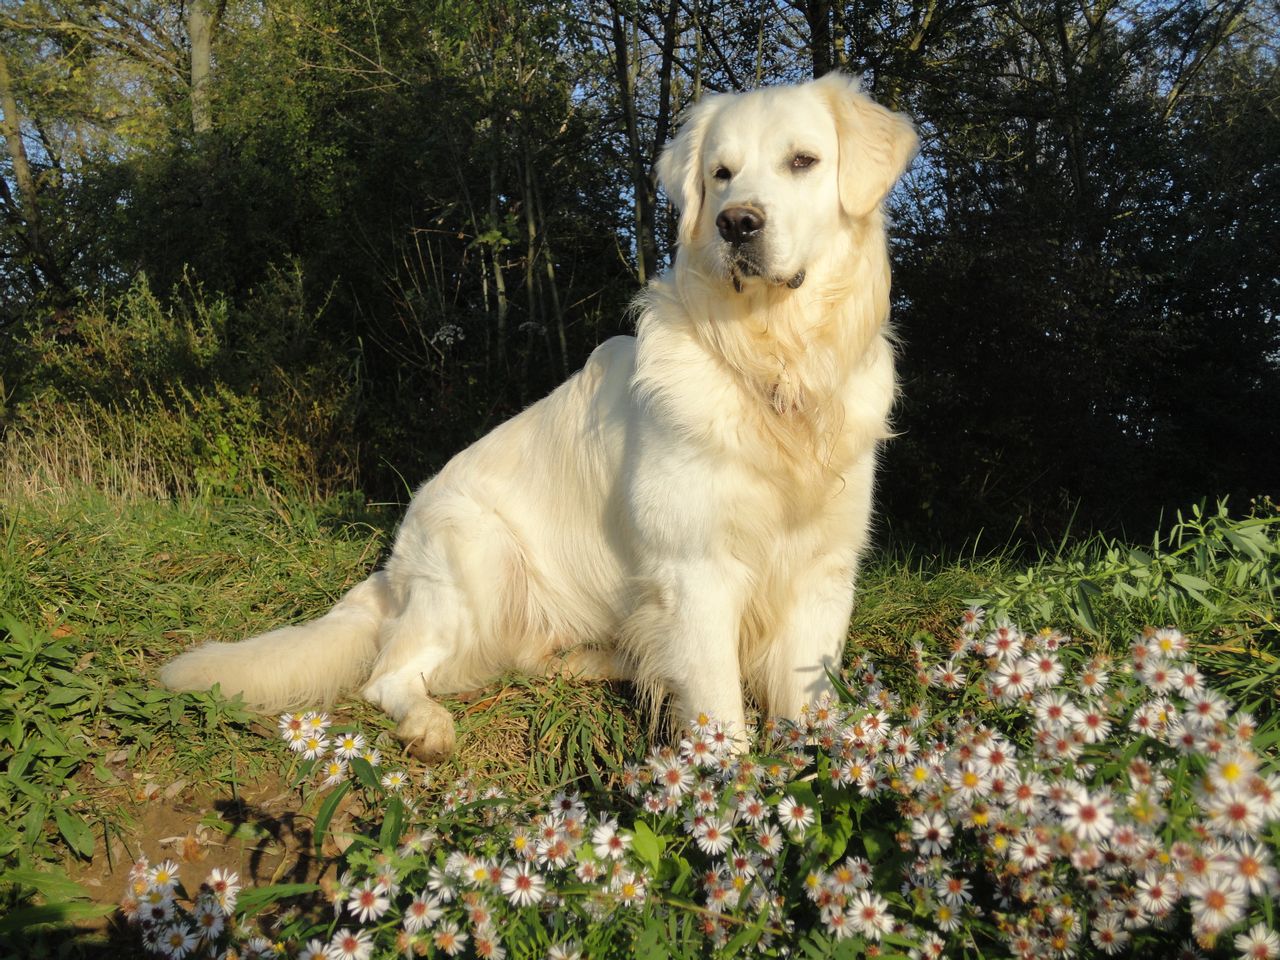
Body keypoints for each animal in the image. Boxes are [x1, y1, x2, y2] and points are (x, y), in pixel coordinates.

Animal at [162, 75, 921, 762]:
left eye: (804, 161)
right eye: (721, 174)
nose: (737, 223)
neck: (775, 367)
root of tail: (396, 565)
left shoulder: (824, 571)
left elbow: (808, 702)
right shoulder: (696, 571)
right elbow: (720, 715)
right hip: (483, 555)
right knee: (391, 675)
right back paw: (428, 725)